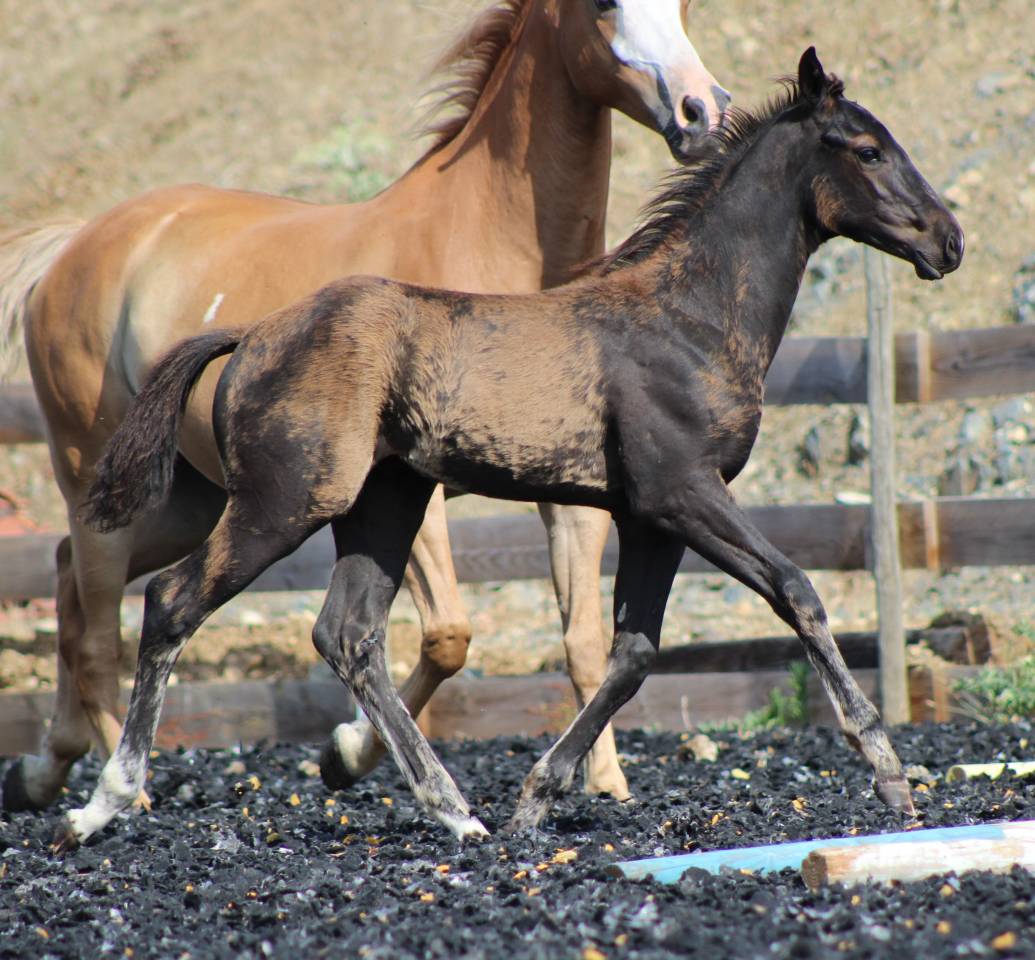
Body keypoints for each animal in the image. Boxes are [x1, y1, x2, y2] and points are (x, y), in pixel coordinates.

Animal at [0, 0, 729, 814]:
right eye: (602, 7)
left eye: (684, 7)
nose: (702, 110)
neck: (485, 250)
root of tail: (71, 248)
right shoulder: (418, 490)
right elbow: (446, 634)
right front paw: (346, 755)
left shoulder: (569, 500)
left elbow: (583, 641)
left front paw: (603, 784)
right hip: (99, 480)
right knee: (98, 632)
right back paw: (117, 789)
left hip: (191, 500)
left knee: (66, 580)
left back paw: (44, 769)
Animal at [53, 48, 964, 848]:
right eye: (869, 149)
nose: (947, 240)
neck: (688, 318)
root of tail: (253, 334)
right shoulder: (684, 492)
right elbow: (795, 589)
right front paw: (887, 771)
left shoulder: (649, 518)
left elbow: (633, 654)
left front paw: (536, 796)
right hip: (285, 501)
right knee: (172, 601)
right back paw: (104, 804)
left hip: (381, 505)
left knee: (348, 634)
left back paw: (455, 810)